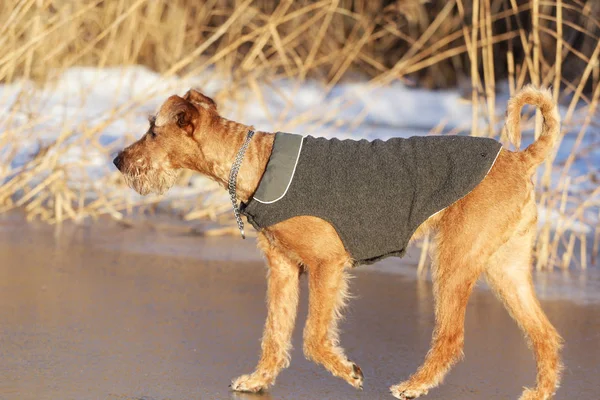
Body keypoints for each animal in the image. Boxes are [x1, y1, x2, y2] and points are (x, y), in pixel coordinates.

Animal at [113, 86, 564, 398]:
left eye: (152, 130)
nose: (117, 160)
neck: (252, 163)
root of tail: (520, 158)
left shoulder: (326, 264)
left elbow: (313, 336)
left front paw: (349, 371)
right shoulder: (282, 267)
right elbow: (275, 333)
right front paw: (259, 380)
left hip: (454, 261)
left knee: (451, 337)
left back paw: (412, 385)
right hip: (505, 267)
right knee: (545, 335)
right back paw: (539, 392)